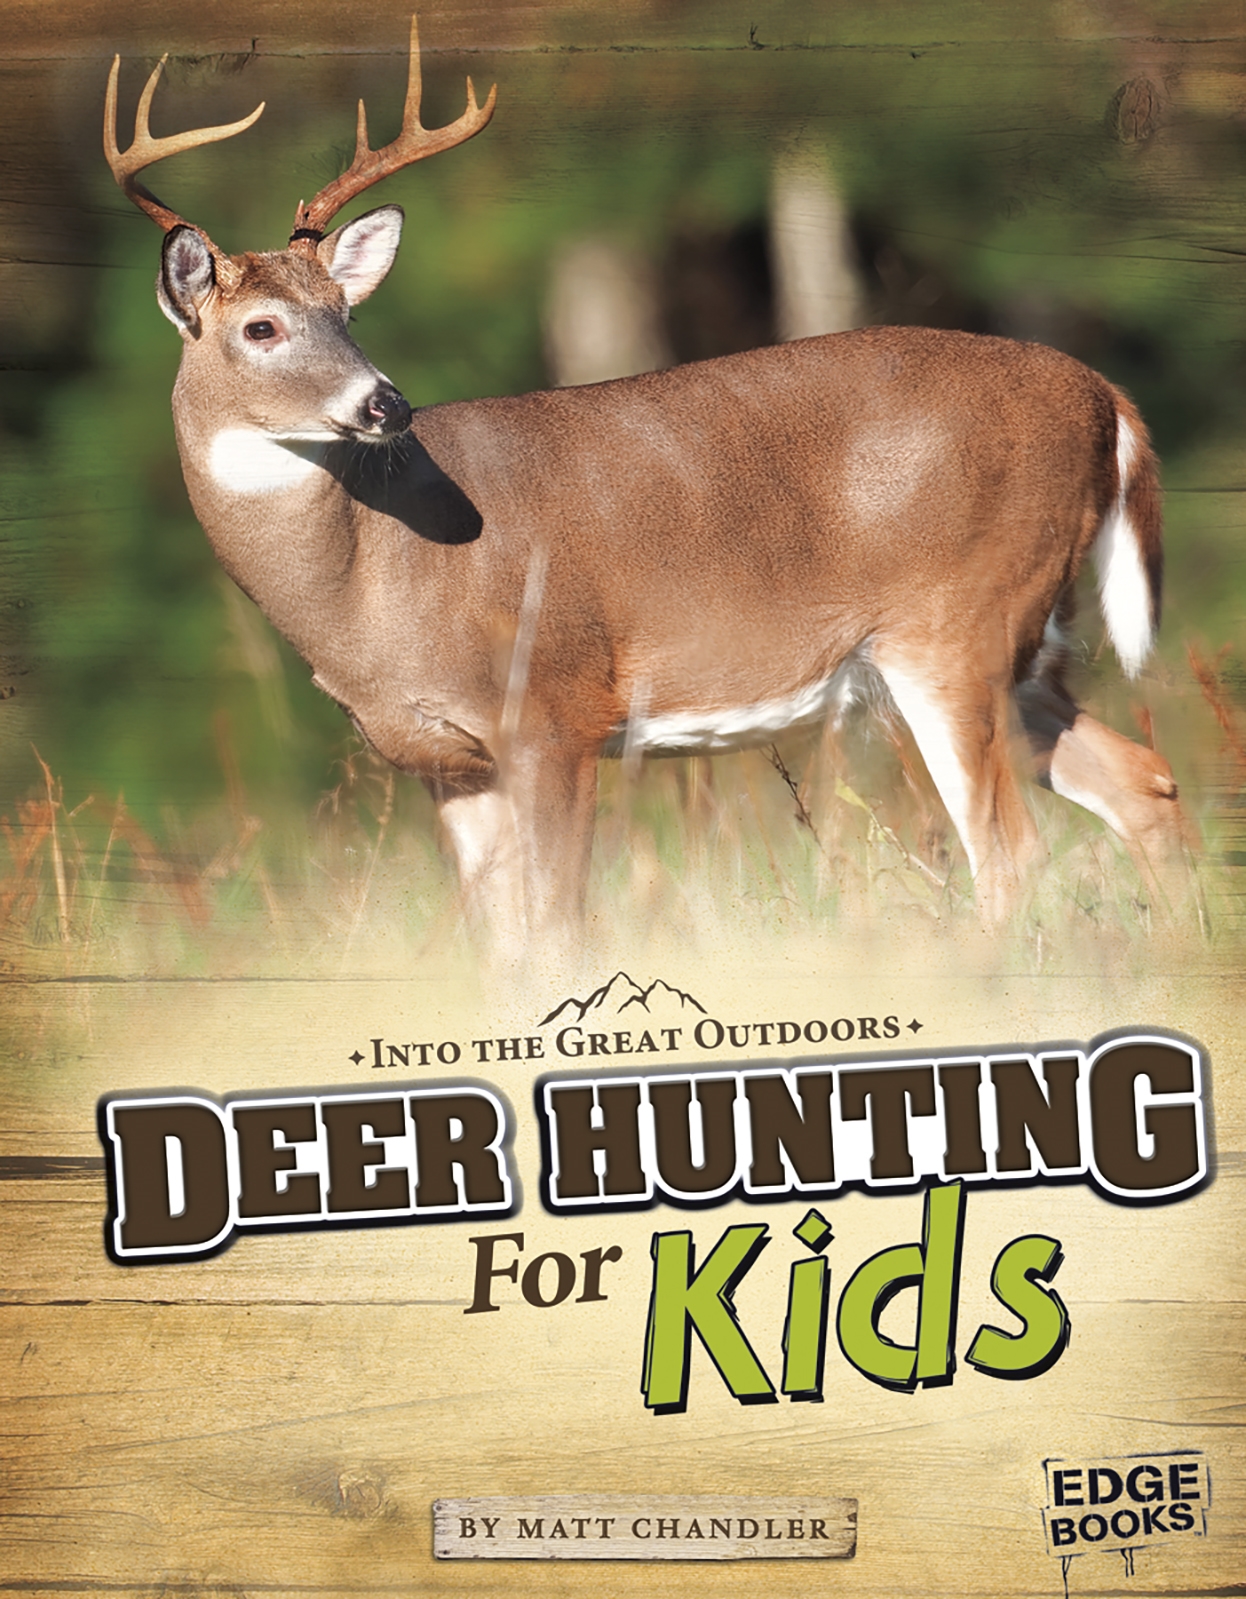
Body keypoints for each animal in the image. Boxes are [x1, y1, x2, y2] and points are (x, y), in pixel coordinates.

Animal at [104, 17, 1185, 958]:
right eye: (263, 327)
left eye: (345, 313)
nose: (385, 402)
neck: (374, 583)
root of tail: (1105, 396)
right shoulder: (444, 762)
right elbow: (502, 950)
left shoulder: (553, 709)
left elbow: (559, 931)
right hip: (1025, 637)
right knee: (1143, 781)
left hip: (956, 622)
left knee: (1010, 851)